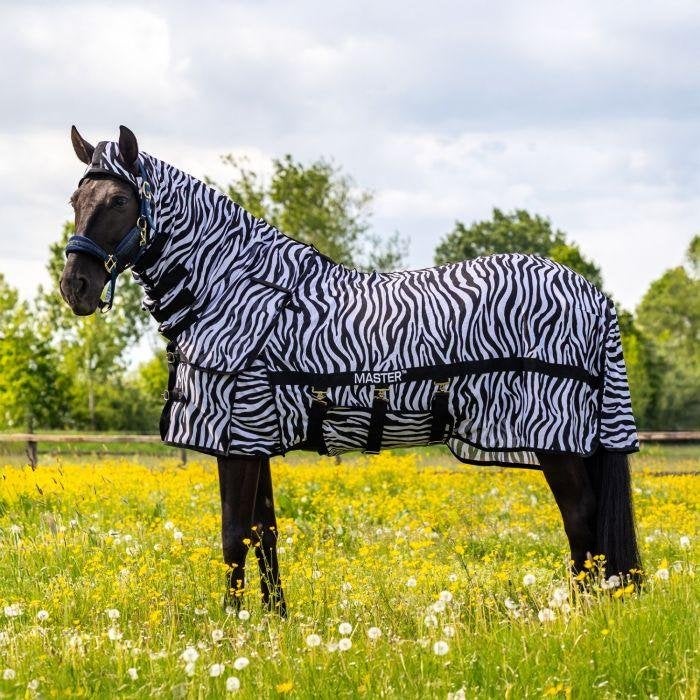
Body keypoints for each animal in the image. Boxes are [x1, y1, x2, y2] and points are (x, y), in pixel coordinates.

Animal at [59, 125, 641, 616]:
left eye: (118, 201)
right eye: (74, 200)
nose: (75, 288)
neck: (235, 288)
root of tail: (595, 295)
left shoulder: (237, 435)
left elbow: (233, 533)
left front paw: (231, 626)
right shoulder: (255, 435)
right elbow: (264, 532)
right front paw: (275, 622)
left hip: (557, 442)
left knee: (582, 523)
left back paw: (583, 617)